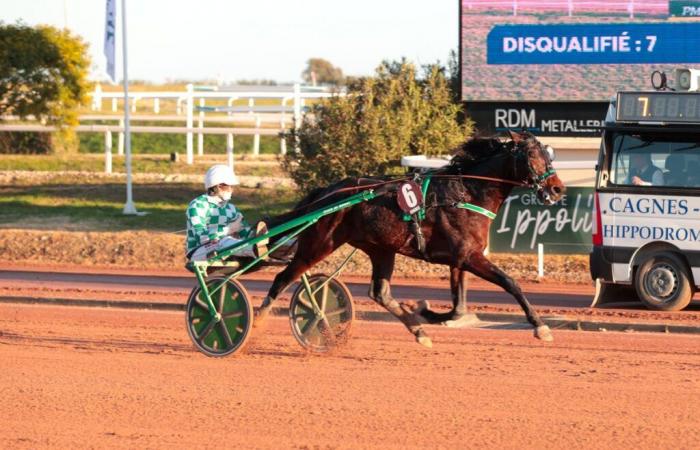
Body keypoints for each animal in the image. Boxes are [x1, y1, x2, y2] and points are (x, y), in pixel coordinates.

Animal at [258, 130, 564, 348]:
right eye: (532, 156)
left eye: (549, 155)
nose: (557, 189)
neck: (465, 193)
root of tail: (325, 193)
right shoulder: (469, 257)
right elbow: (510, 283)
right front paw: (540, 326)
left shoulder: (460, 259)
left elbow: (457, 307)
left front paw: (423, 312)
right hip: (319, 243)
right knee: (282, 278)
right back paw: (256, 320)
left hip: (381, 249)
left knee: (379, 293)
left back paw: (417, 330)